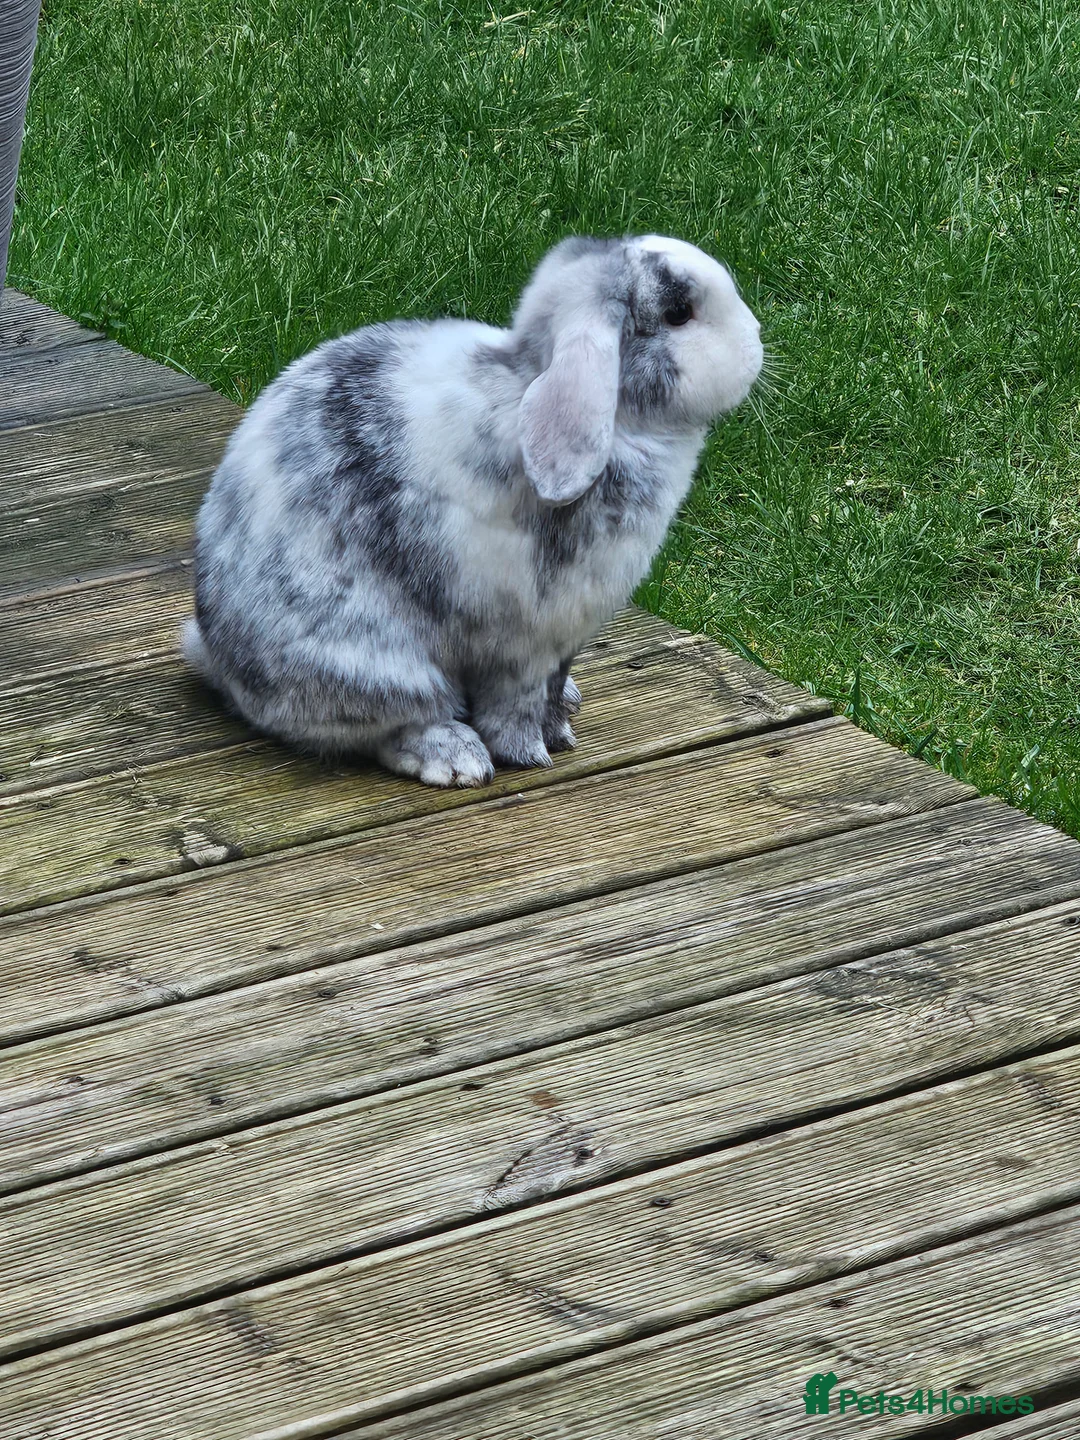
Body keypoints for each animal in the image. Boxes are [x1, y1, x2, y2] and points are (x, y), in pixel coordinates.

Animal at [182, 233, 763, 787]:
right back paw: (457, 758)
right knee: (385, 729)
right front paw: (531, 755)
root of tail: (217, 654)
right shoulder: (524, 645)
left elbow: (553, 688)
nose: (756, 341)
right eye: (679, 313)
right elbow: (516, 706)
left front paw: (562, 731)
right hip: (379, 669)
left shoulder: (564, 641)